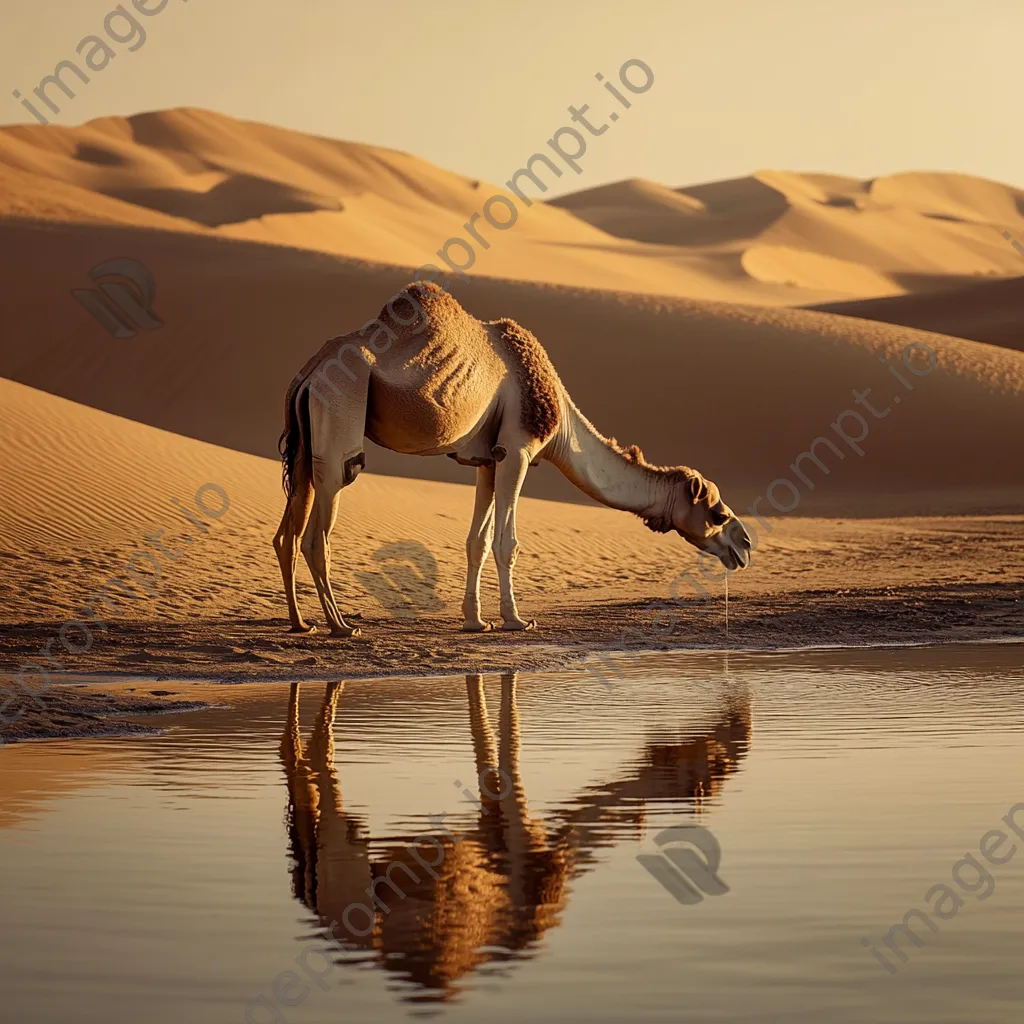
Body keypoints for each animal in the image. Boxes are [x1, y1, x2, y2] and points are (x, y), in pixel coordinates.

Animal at [274, 280, 753, 630]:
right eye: (717, 514)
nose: (744, 546)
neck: (561, 423)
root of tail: (308, 374)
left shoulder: (488, 459)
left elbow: (478, 542)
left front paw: (474, 621)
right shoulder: (518, 449)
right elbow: (508, 543)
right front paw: (515, 620)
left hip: (304, 445)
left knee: (288, 532)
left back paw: (301, 623)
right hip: (340, 416)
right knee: (320, 527)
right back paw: (340, 626)